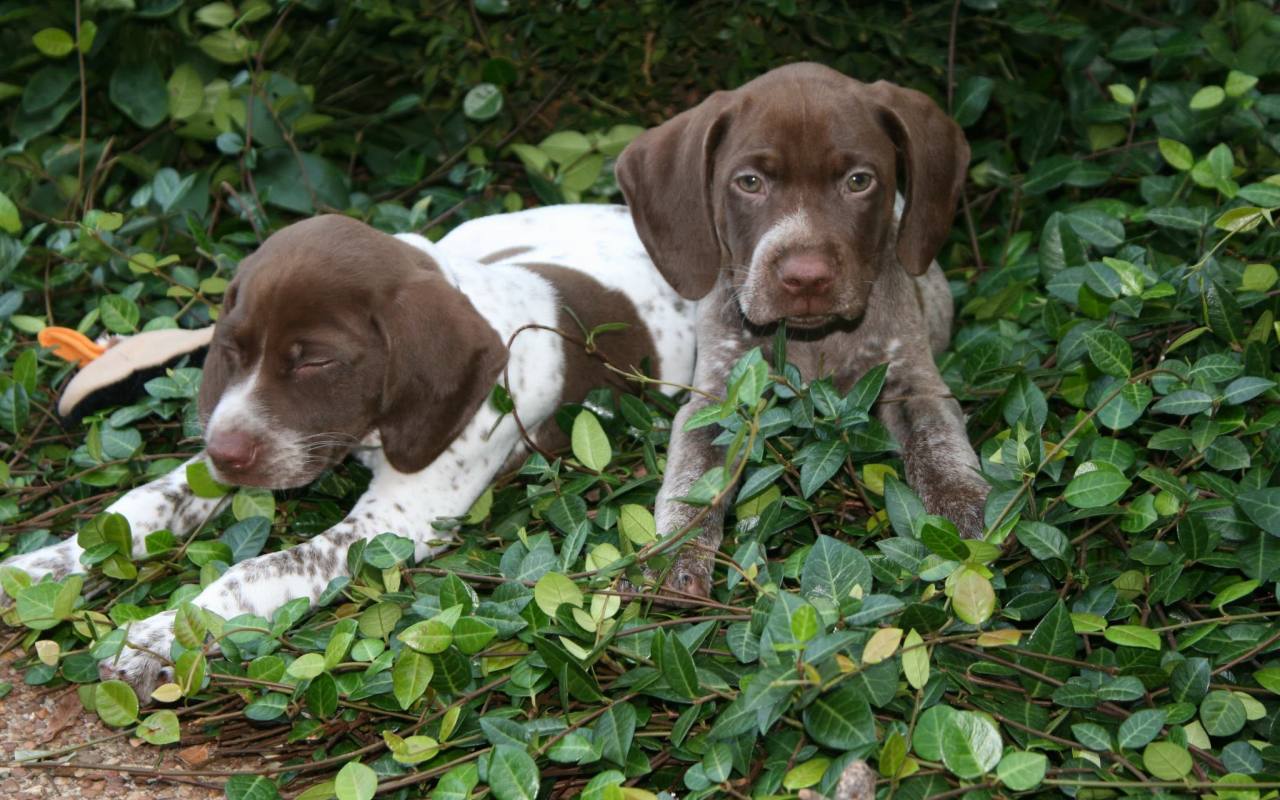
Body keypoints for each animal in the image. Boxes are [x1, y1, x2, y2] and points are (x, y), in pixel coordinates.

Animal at [0, 206, 696, 691]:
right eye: (232, 348)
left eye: (315, 362)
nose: (224, 452)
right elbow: (139, 507)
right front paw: (38, 570)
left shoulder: (394, 523)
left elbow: (257, 570)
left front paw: (160, 634)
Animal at [616, 62, 988, 596]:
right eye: (750, 182)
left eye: (858, 181)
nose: (807, 277)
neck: (814, 343)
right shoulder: (717, 399)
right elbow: (692, 483)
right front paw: (673, 556)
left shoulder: (913, 383)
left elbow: (939, 450)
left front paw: (963, 524)